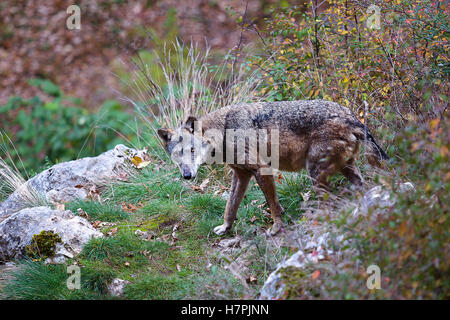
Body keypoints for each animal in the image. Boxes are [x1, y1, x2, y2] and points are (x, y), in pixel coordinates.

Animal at [157, 99, 386, 235]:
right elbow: (230, 206)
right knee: (361, 188)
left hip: (315, 173)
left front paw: (276, 228)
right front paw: (226, 227)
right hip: (344, 170)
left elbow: (273, 205)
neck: (223, 131)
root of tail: (351, 116)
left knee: (330, 203)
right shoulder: (241, 176)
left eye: (192, 150)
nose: (187, 175)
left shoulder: (261, 169)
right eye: (177, 155)